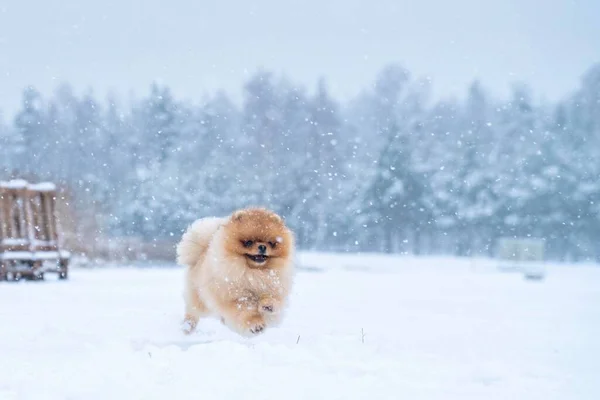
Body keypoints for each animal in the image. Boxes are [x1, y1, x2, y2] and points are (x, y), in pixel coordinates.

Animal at [176, 208, 296, 336]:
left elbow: (273, 299)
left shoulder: (274, 287)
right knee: (192, 311)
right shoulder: (235, 297)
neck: (254, 273)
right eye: (248, 242)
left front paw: (268, 305)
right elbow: (246, 310)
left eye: (271, 243)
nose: (262, 247)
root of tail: (201, 251)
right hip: (201, 300)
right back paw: (187, 327)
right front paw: (256, 325)